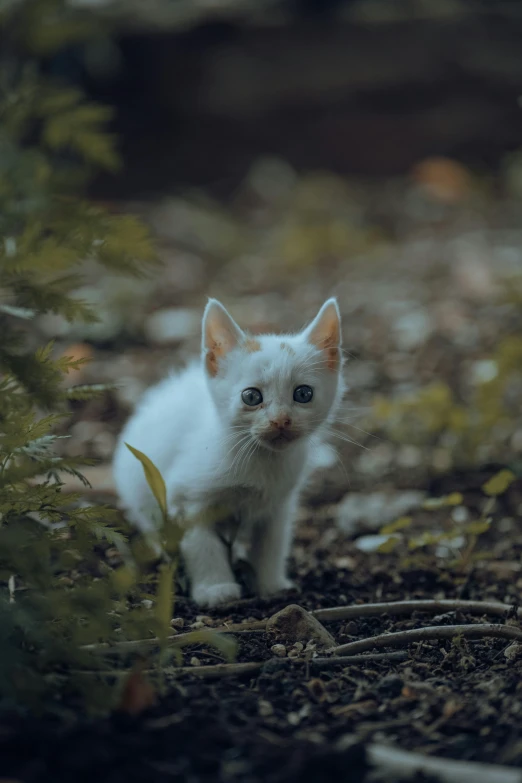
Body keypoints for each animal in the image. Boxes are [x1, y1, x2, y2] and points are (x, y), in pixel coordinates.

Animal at [111, 298, 344, 608]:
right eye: (251, 396)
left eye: (303, 394)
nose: (281, 421)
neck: (261, 460)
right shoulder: (187, 500)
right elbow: (202, 544)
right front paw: (216, 589)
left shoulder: (279, 504)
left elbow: (271, 543)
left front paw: (270, 584)